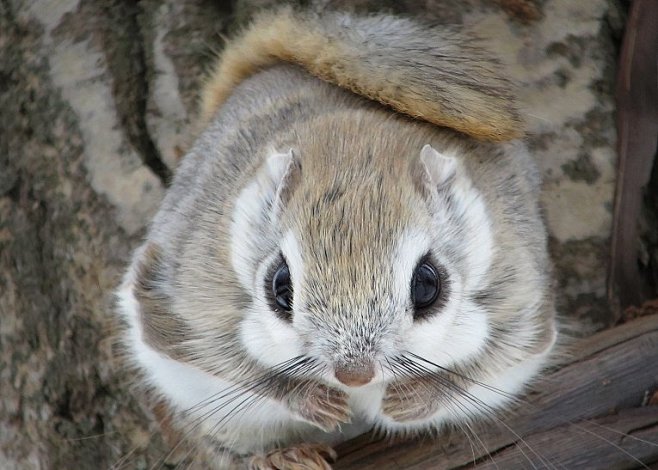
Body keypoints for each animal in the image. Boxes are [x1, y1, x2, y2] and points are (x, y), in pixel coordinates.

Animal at [116, 5, 552, 468]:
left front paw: (415, 398)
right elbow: (235, 365)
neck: (352, 145)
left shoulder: (518, 294)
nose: (354, 375)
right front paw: (310, 400)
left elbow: (490, 361)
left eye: (428, 286)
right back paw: (283, 455)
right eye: (280, 287)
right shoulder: (191, 296)